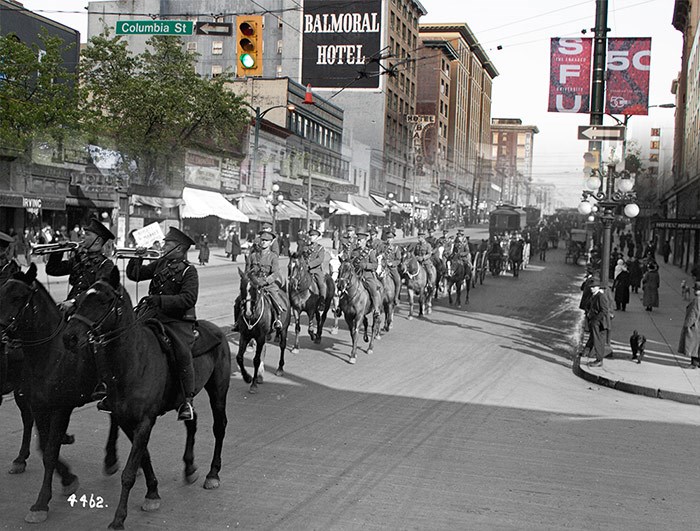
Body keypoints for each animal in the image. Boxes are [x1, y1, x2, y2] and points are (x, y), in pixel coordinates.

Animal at [0, 266, 120, 528]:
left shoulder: (61, 408)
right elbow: (45, 445)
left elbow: (50, 451)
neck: (50, 354)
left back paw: (111, 459)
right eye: (1, 291)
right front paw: (66, 478)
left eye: (17, 297)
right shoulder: (39, 406)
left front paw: (41, 503)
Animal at [61, 268, 231, 528]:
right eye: (78, 300)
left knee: (219, 427)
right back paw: (189, 467)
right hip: (186, 397)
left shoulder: (144, 421)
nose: (69, 337)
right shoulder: (126, 420)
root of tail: (218, 330)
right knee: (192, 422)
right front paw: (152, 493)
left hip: (218, 391)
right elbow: (143, 458)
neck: (133, 361)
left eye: (103, 301)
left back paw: (213, 473)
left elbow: (130, 471)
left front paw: (119, 518)